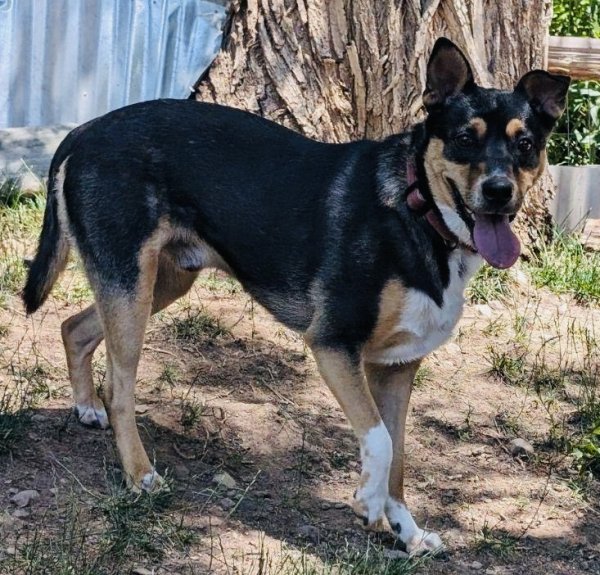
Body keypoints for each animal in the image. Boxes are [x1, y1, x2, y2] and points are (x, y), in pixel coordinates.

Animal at [22, 38, 568, 556]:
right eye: (463, 139)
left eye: (525, 144)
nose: (499, 191)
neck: (418, 211)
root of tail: (86, 129)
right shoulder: (334, 345)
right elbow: (380, 440)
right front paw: (368, 504)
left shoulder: (396, 369)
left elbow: (399, 456)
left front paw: (407, 532)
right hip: (131, 286)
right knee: (120, 388)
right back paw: (140, 474)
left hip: (157, 283)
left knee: (74, 328)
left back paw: (86, 408)